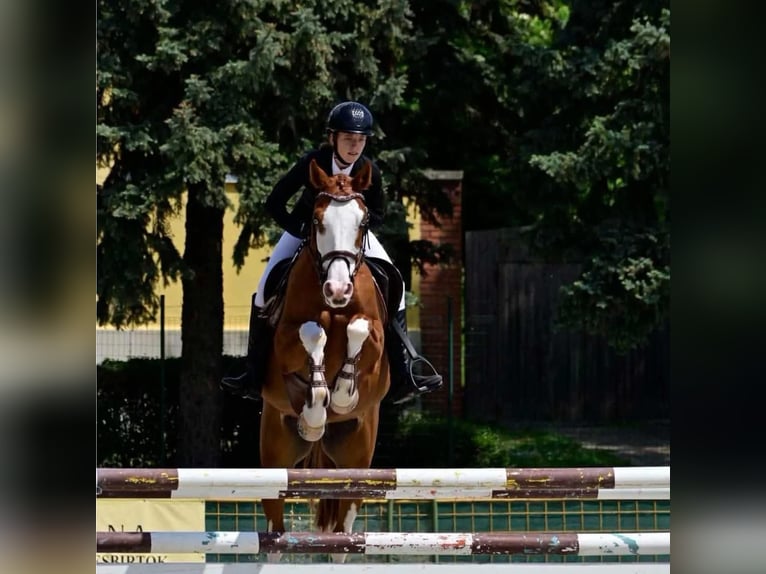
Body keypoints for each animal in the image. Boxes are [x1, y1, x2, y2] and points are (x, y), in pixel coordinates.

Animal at [258, 158, 391, 560]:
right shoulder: (285, 338)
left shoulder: (375, 335)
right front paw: (315, 411)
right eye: (317, 221)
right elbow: (312, 331)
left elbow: (358, 328)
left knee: (343, 538)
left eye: (363, 222)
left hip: (356, 463)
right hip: (275, 455)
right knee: (275, 534)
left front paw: (344, 394)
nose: (337, 289)